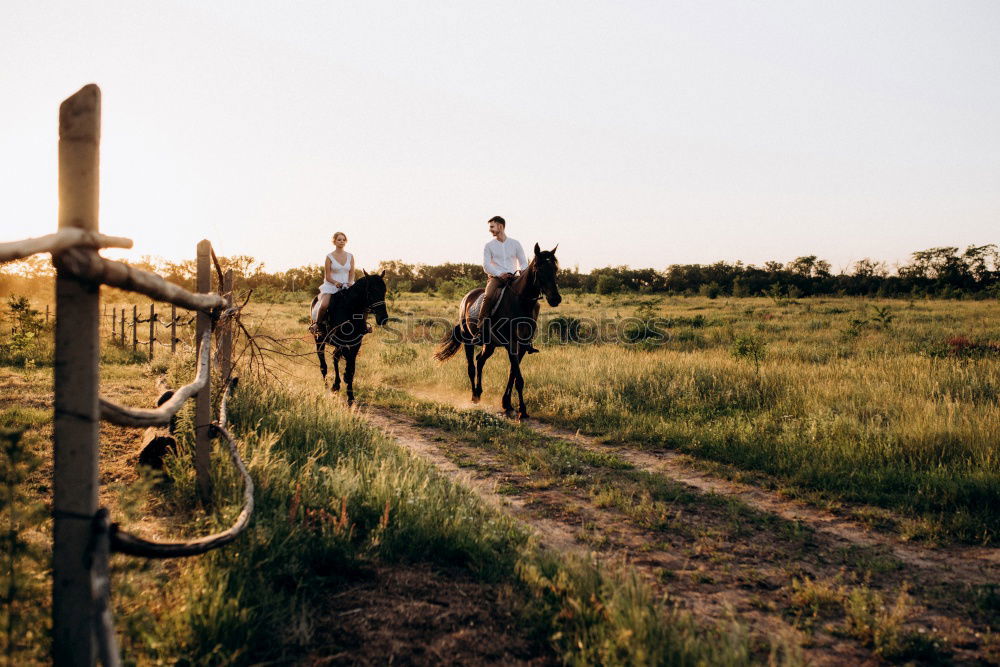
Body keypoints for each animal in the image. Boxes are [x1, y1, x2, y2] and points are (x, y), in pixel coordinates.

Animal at [312, 272, 390, 408]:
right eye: (370, 291)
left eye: (384, 290)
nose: (383, 318)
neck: (350, 310)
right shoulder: (344, 344)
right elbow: (347, 371)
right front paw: (348, 396)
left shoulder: (356, 344)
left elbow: (351, 371)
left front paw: (351, 398)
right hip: (319, 340)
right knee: (323, 365)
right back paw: (327, 389)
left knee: (334, 358)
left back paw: (336, 386)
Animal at [438, 245, 564, 420]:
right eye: (539, 268)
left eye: (555, 268)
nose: (555, 299)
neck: (520, 303)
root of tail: (466, 298)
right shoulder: (511, 344)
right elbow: (518, 378)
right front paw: (522, 410)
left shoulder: (522, 346)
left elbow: (513, 374)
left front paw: (507, 404)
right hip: (469, 341)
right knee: (471, 367)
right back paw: (474, 397)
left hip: (489, 345)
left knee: (480, 360)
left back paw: (479, 392)